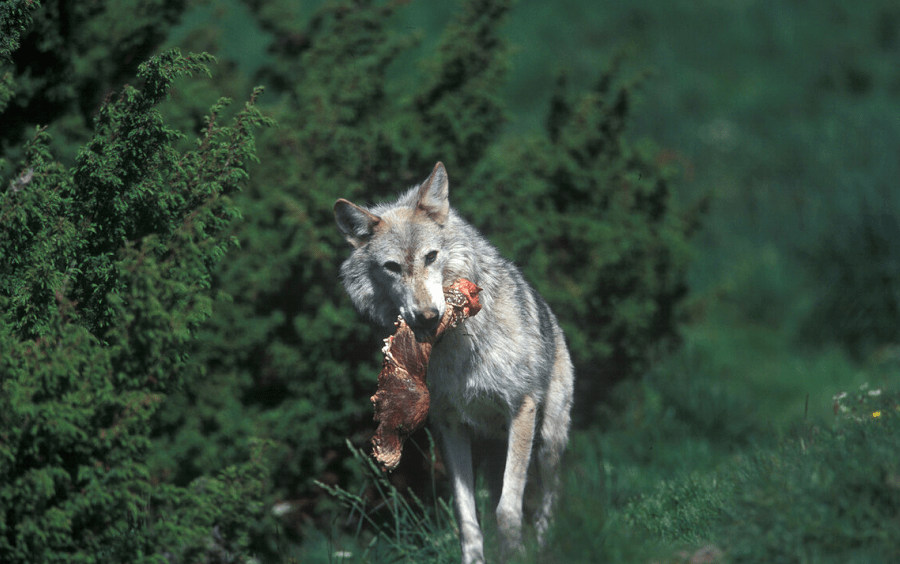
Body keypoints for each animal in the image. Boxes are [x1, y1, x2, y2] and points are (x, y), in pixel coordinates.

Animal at [334, 161, 572, 560]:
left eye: (430, 257)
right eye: (392, 267)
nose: (428, 317)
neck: (457, 350)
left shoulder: (521, 408)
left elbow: (508, 511)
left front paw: (517, 553)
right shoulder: (449, 426)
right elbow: (468, 520)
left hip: (549, 444)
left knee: (547, 504)